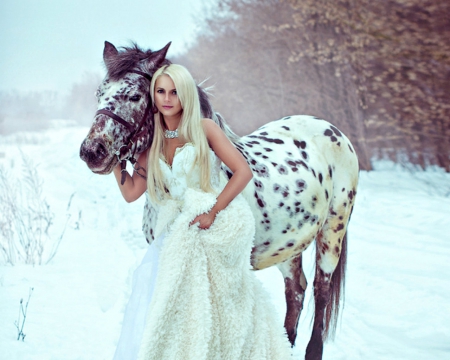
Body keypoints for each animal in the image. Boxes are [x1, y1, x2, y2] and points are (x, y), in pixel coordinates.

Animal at [78, 42, 358, 360]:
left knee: (320, 292)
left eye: (135, 95)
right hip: (289, 246)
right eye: (99, 93)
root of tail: (330, 129)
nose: (92, 151)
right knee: (296, 291)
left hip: (332, 232)